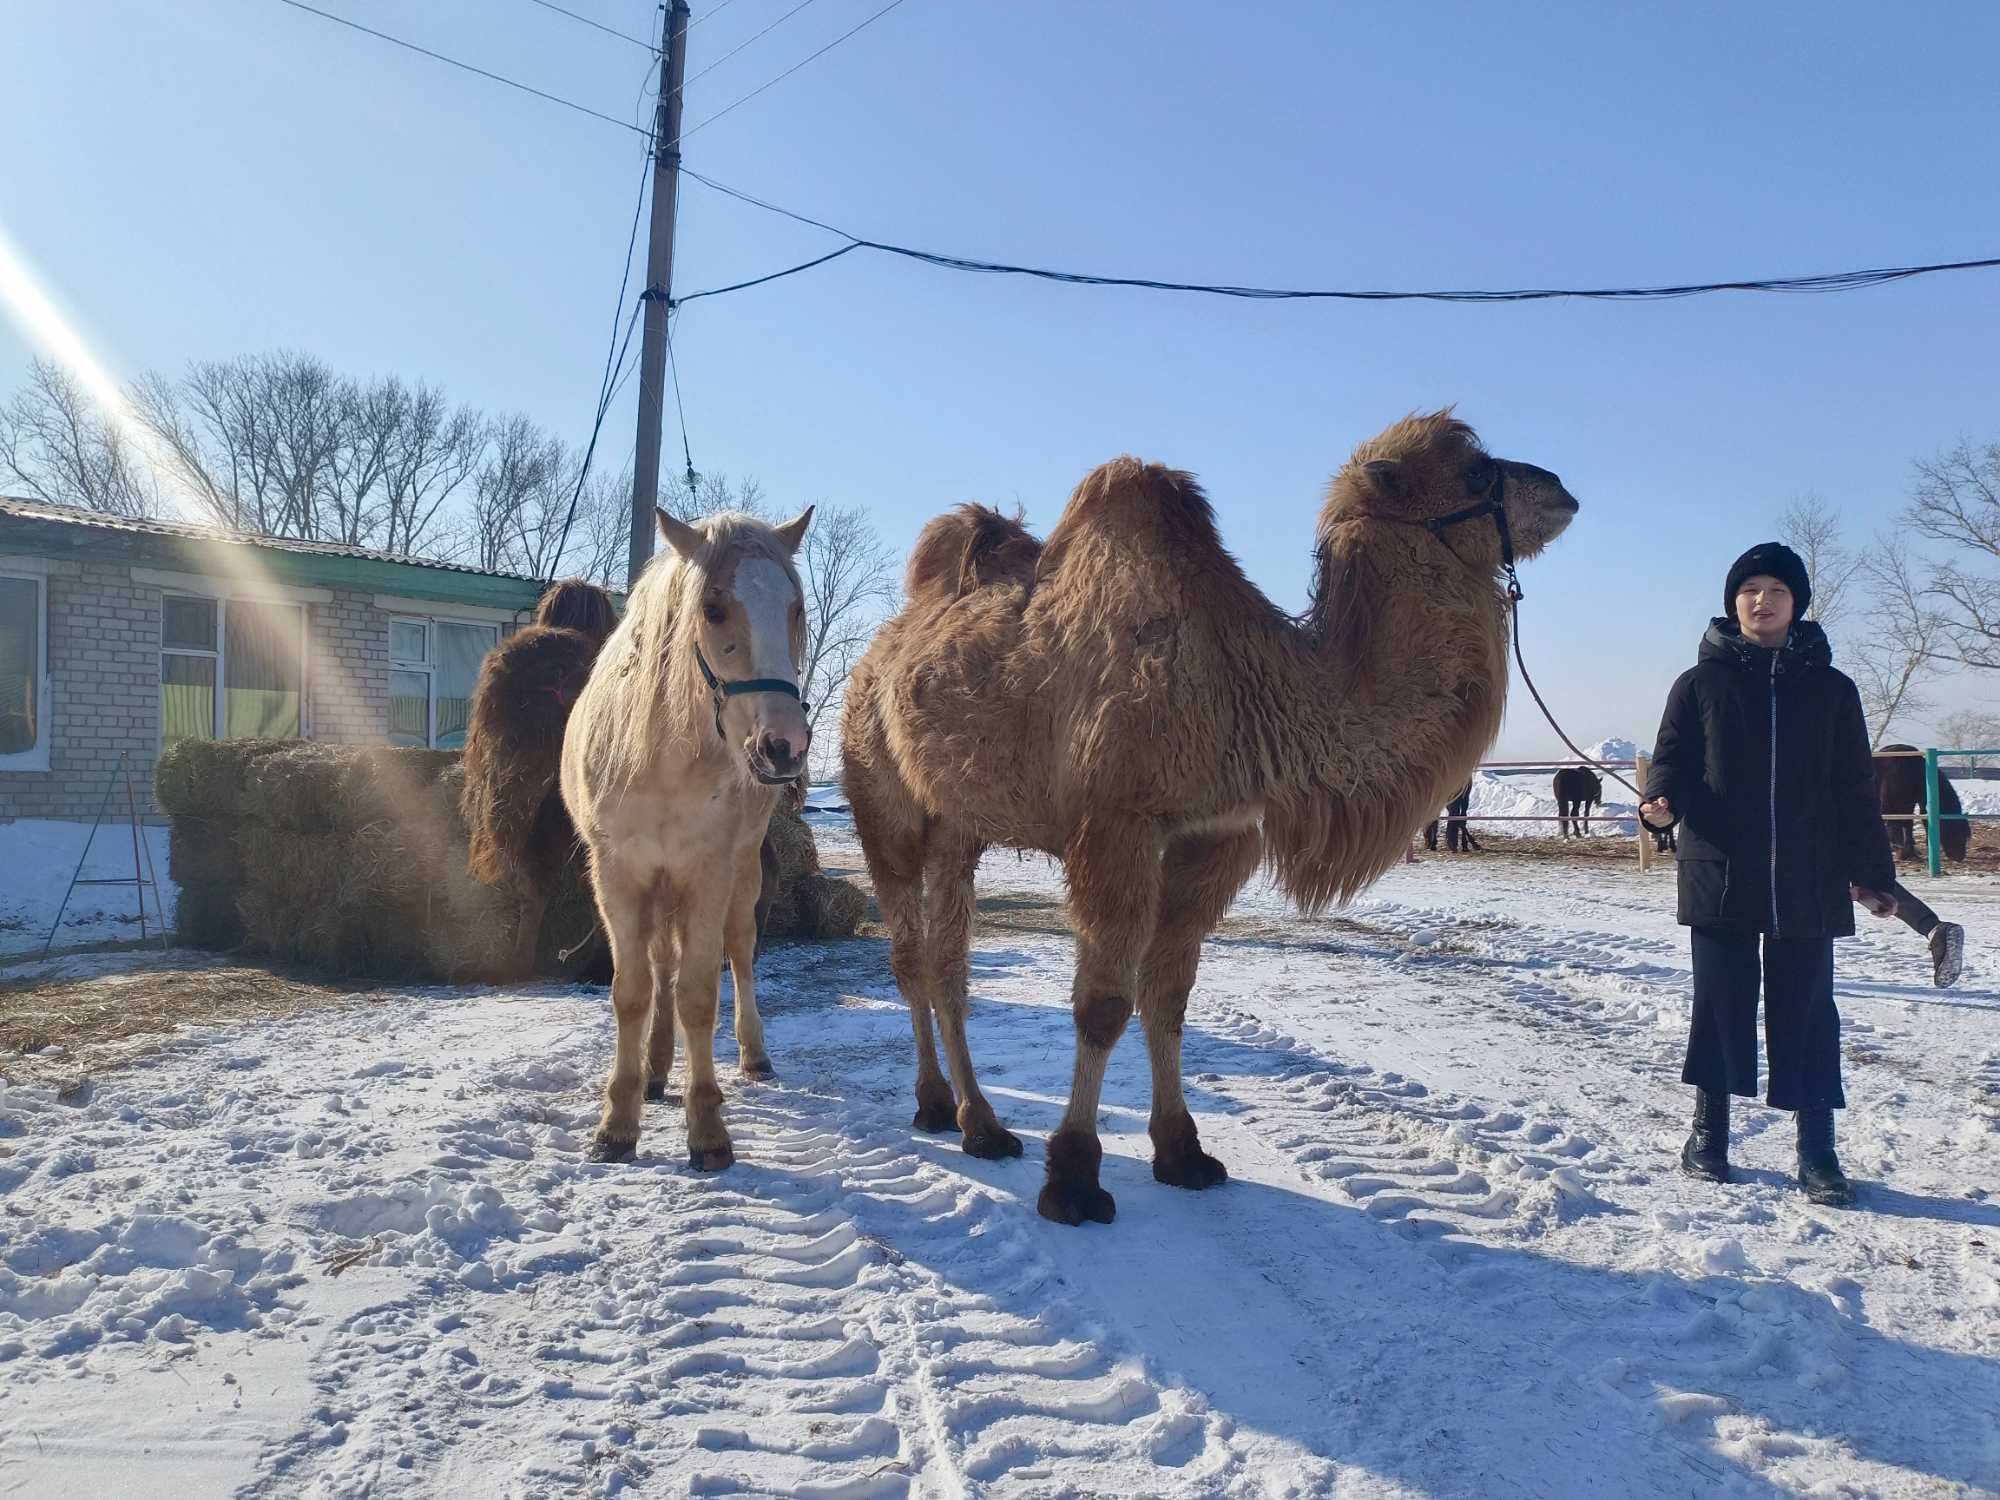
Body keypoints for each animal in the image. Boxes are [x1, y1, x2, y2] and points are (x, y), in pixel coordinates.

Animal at [560, 512, 808, 1168]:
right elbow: (633, 992)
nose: (785, 747)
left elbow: (699, 993)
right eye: (713, 608)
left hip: (742, 876)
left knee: (739, 953)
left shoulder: (708, 873)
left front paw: (707, 1129)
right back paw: (653, 1069)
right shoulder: (618, 875)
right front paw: (618, 1122)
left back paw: (753, 1054)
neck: (662, 757)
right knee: (660, 966)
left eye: (795, 608)